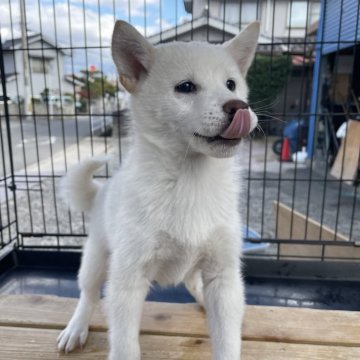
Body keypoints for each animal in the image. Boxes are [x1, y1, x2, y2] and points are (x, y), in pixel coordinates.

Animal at [58, 20, 258, 360]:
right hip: (96, 257)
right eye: (186, 87)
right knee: (88, 294)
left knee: (193, 284)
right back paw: (76, 328)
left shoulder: (223, 273)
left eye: (231, 84)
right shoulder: (128, 279)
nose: (239, 106)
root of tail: (101, 192)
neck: (190, 182)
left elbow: (227, 339)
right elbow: (124, 344)